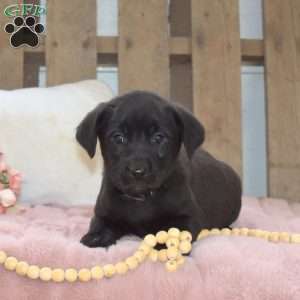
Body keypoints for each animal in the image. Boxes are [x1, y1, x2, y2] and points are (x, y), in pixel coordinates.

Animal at [77, 91, 241, 248]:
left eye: (158, 138)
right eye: (118, 138)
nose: (137, 171)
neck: (141, 198)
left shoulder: (189, 216)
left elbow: (174, 231)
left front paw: (164, 244)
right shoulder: (103, 212)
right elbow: (101, 224)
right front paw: (96, 236)